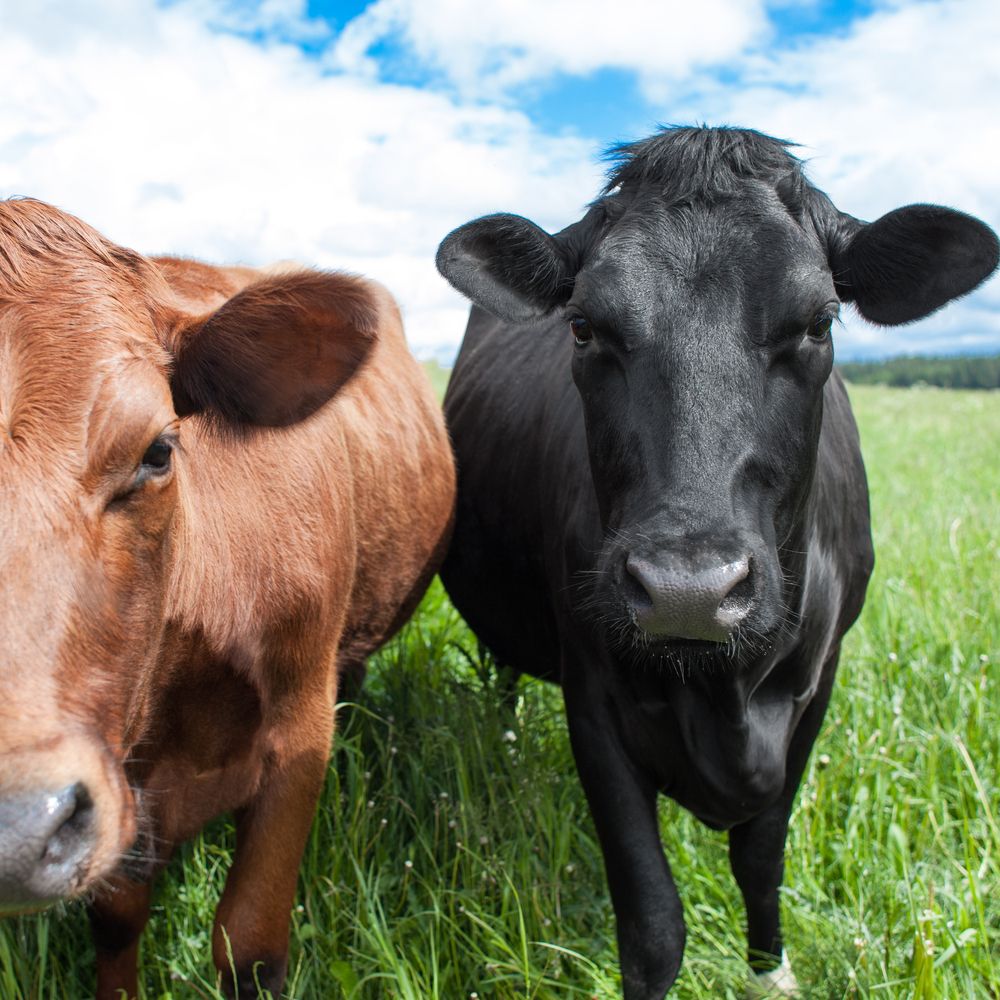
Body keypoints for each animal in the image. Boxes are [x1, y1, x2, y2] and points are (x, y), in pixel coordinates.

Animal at [0, 198, 455, 999]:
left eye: (158, 450)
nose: (16, 830)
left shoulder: (299, 728)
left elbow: (249, 947)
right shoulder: (124, 777)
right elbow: (116, 917)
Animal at [435, 127, 998, 998]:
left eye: (819, 321)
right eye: (584, 326)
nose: (687, 592)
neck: (723, 694)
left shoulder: (816, 686)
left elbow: (761, 859)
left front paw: (770, 970)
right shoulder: (593, 696)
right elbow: (653, 923)